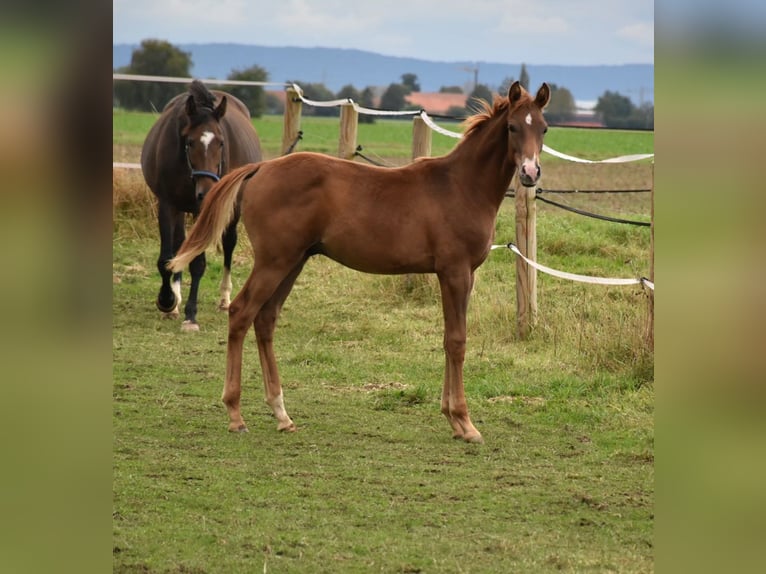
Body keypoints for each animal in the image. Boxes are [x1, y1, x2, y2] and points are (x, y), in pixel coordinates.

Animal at [142, 79, 264, 330]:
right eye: (189, 142)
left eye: (221, 143)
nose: (207, 192)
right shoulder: (167, 204)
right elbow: (167, 257)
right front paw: (168, 300)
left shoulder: (205, 210)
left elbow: (198, 262)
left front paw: (191, 315)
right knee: (181, 243)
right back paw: (176, 300)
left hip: (232, 207)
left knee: (229, 242)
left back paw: (225, 298)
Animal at [171, 81, 548, 444]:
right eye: (512, 127)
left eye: (543, 128)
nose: (530, 173)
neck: (460, 186)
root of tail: (261, 167)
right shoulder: (455, 272)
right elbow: (457, 341)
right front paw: (465, 423)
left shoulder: (462, 274)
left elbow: (448, 338)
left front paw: (452, 420)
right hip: (273, 261)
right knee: (241, 313)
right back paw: (236, 415)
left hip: (293, 262)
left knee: (265, 319)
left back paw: (282, 414)